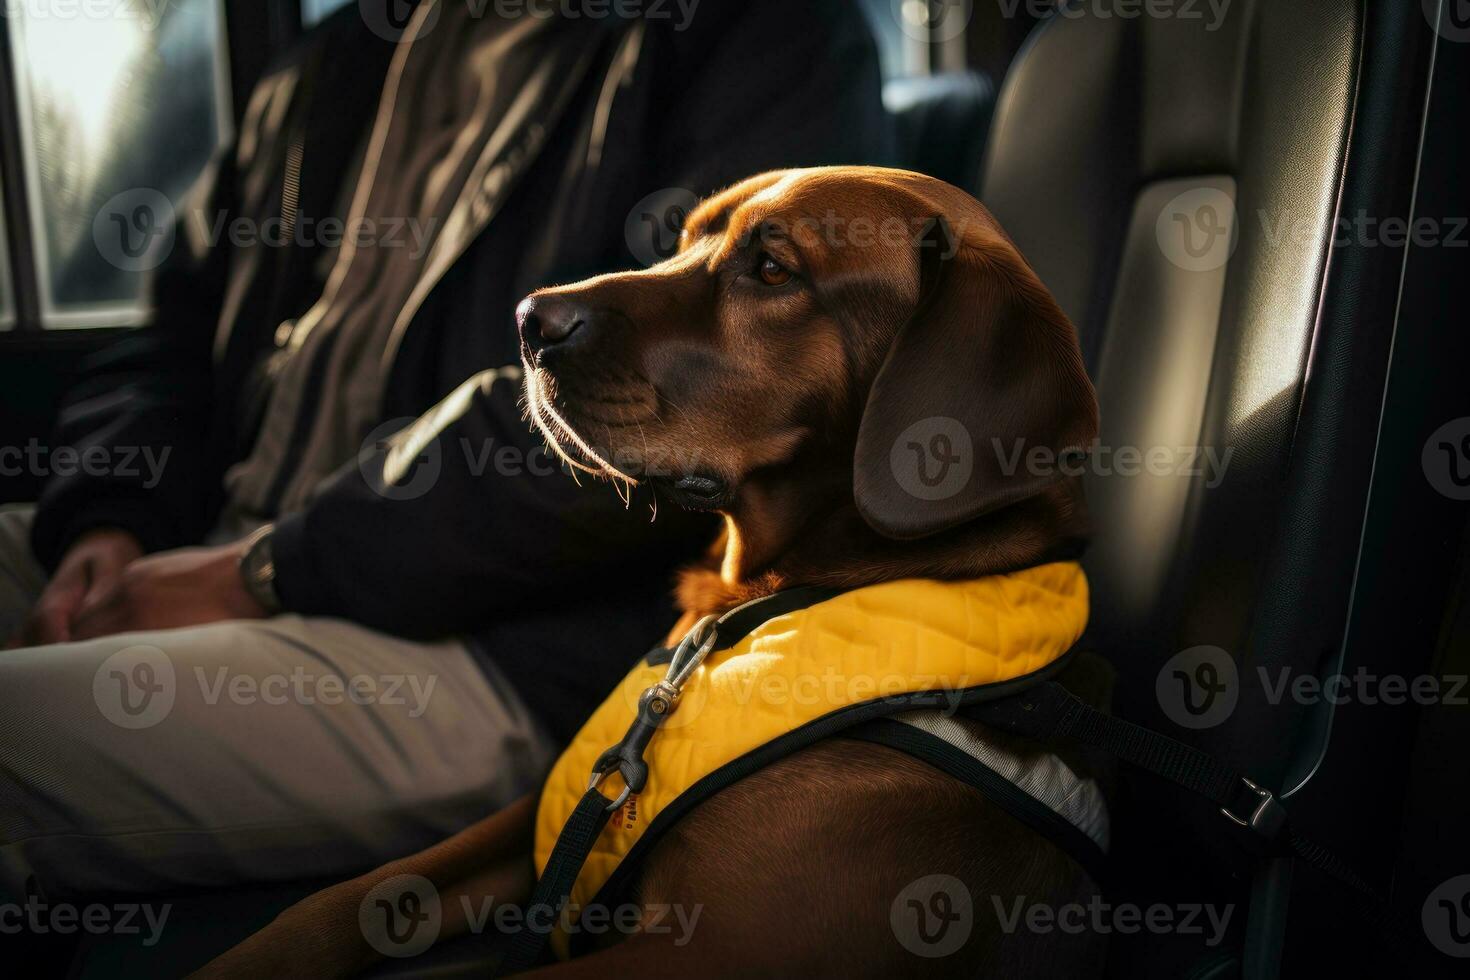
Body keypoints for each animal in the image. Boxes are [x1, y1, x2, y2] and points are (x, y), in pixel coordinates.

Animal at [201, 166, 1105, 975]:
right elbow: (348, 896)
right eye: (681, 241)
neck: (754, 604)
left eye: (772, 270)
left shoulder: (718, 951)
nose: (529, 320)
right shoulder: (553, 808)